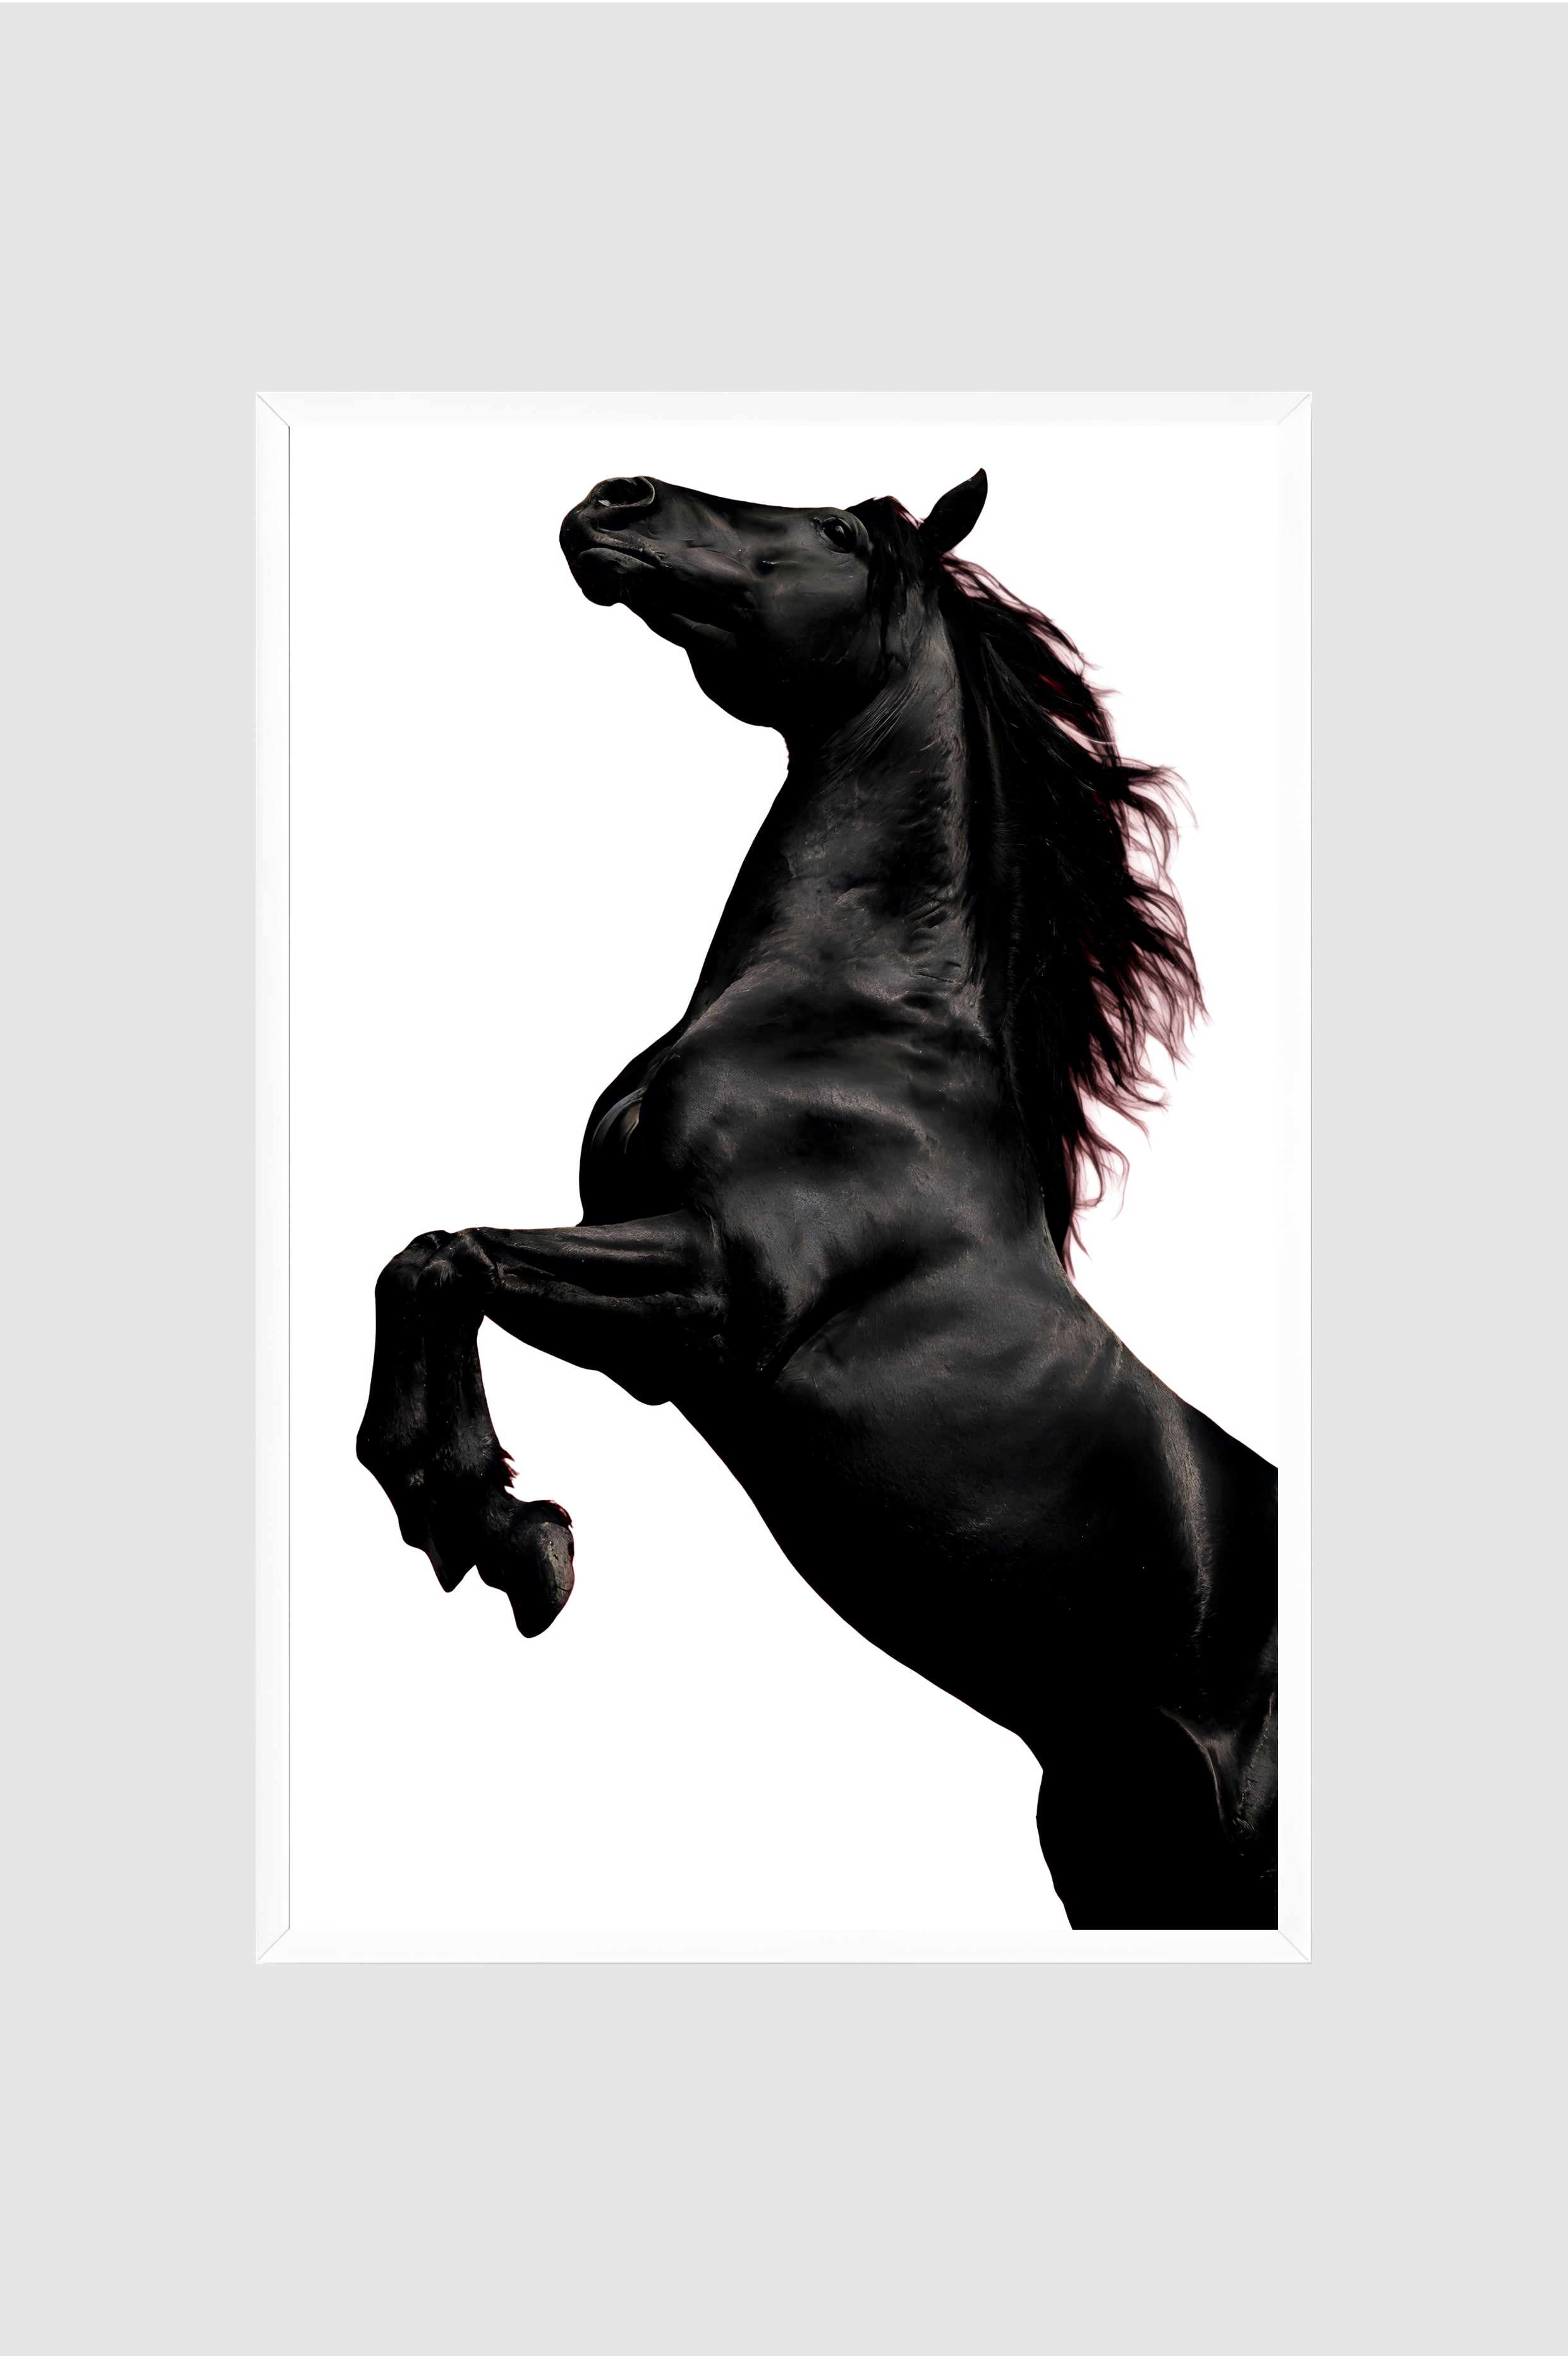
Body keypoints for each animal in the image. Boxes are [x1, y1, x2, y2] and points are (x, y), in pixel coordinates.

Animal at [356, 467, 1279, 1930]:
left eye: (841, 532)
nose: (612, 497)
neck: (848, 1022)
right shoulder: (647, 1327)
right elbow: (426, 1257)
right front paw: (481, 1519)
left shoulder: (716, 1298)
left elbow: (447, 1260)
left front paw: (504, 1533)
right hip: (1127, 1857)